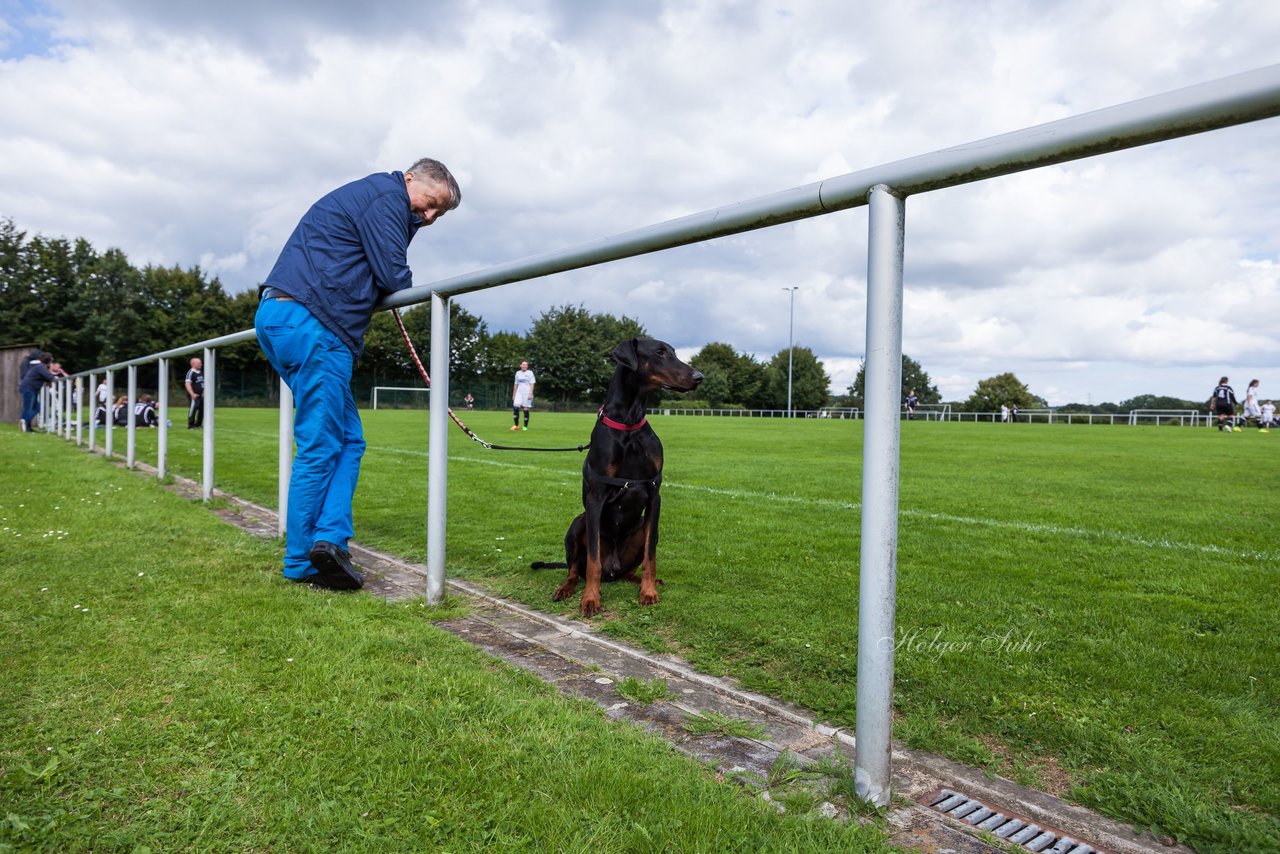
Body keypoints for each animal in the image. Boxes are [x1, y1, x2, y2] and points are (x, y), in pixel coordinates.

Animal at [535, 338, 706, 617]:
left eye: (673, 352)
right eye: (659, 352)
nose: (699, 377)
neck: (629, 424)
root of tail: (613, 570)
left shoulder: (654, 493)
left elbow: (650, 555)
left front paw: (649, 592)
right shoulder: (596, 496)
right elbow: (593, 560)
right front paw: (590, 599)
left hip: (641, 528)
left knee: (631, 568)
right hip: (578, 523)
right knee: (575, 570)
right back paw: (566, 588)